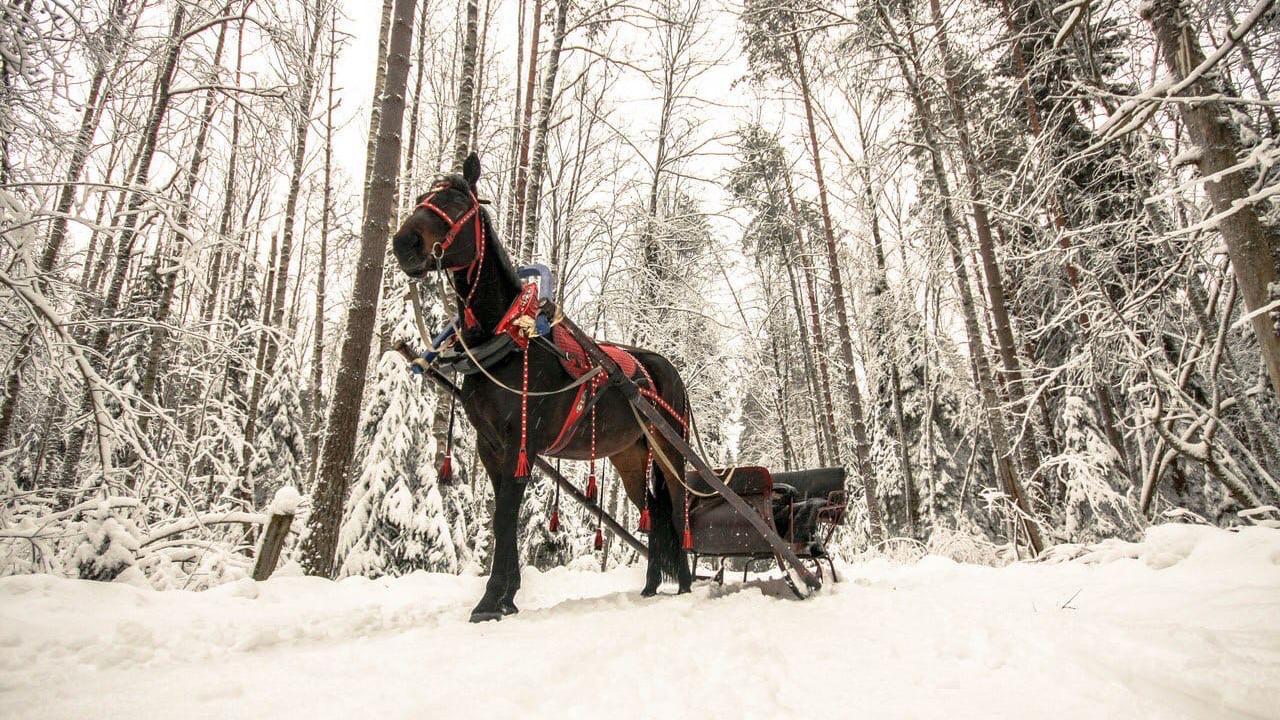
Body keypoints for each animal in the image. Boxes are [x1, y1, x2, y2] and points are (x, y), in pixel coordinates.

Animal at [391, 149, 696, 617]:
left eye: (458, 202)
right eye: (424, 196)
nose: (404, 243)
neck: (507, 341)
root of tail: (665, 368)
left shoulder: (521, 442)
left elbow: (504, 518)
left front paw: (491, 600)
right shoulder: (491, 446)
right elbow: (502, 517)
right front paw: (506, 597)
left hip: (669, 447)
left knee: (677, 508)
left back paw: (685, 585)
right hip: (628, 455)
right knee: (650, 510)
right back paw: (650, 586)